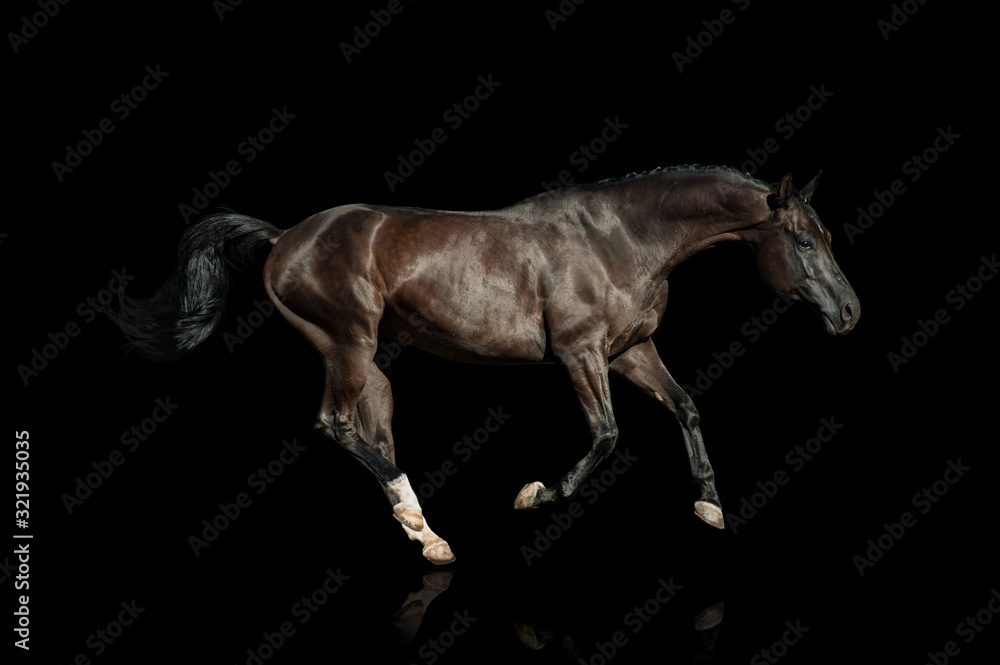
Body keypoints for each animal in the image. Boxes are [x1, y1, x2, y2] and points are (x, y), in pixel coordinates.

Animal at [111, 165, 860, 564]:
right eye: (801, 240)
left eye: (825, 235)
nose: (851, 312)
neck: (620, 239)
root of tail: (283, 238)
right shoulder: (580, 352)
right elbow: (607, 435)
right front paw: (534, 495)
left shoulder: (631, 351)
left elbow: (685, 405)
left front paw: (709, 506)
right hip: (345, 343)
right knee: (334, 426)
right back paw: (419, 518)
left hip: (371, 364)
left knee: (372, 432)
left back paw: (426, 534)